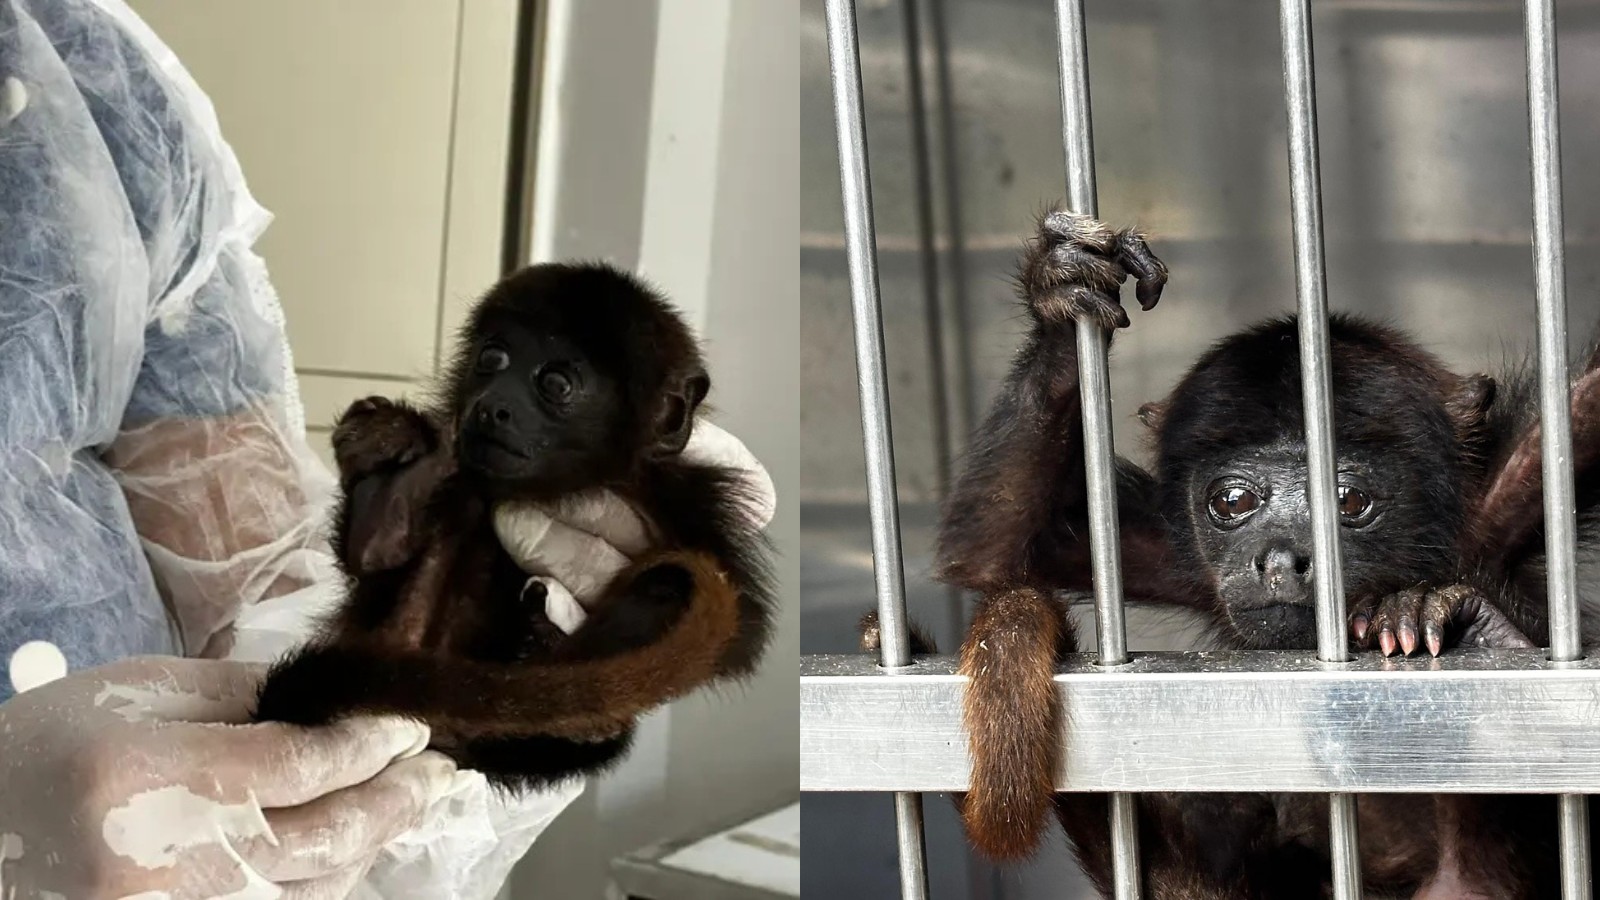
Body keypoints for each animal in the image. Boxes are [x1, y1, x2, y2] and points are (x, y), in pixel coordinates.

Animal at [253, 262, 775, 792]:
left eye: (557, 384)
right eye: (493, 358)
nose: (491, 405)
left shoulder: (687, 500)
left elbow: (742, 632)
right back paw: (391, 499)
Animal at [912, 209, 1600, 897]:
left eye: (1349, 500)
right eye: (1233, 500)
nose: (1279, 558)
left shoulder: (1507, 494)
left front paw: (1446, 613)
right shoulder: (1169, 548)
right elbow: (994, 553)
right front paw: (1062, 293)